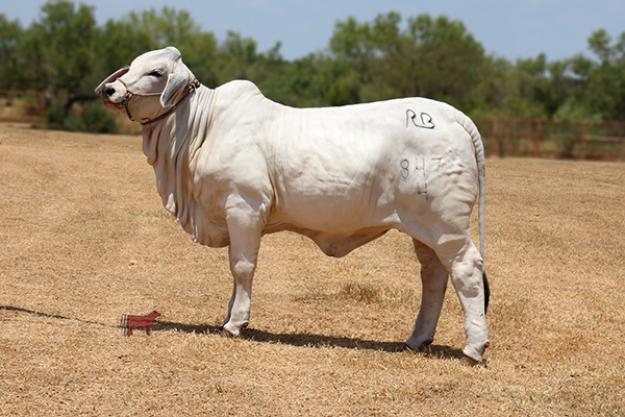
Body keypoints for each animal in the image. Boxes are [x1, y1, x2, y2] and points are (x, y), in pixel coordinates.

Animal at [96, 47, 490, 363]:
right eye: (132, 65)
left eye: (156, 72)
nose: (111, 90)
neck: (200, 130)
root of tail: (453, 116)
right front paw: (228, 316)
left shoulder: (244, 206)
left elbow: (241, 266)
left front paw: (235, 323)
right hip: (424, 229)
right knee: (434, 276)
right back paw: (417, 339)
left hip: (447, 224)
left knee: (466, 270)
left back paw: (474, 348)